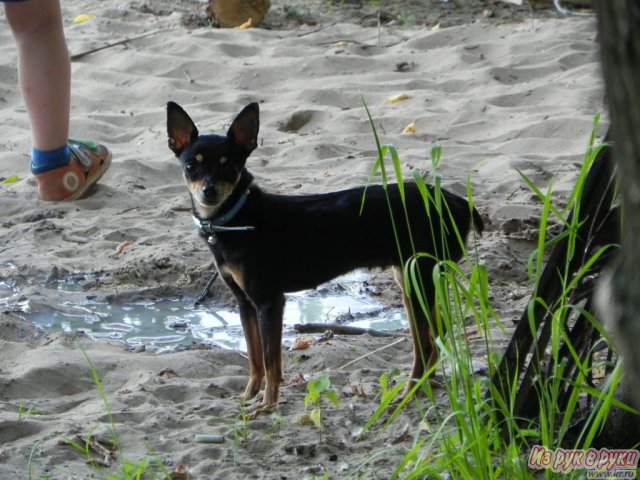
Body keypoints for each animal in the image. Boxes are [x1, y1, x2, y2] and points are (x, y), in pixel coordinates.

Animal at [168, 102, 482, 408]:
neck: (235, 218)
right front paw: (248, 397)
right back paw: (426, 387)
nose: (209, 191)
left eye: (230, 166)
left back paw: (408, 394)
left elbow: (271, 361)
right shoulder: (245, 304)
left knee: (427, 346)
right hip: (411, 281)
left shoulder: (269, 302)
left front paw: (267, 405)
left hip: (418, 280)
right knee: (434, 339)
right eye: (190, 167)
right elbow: (255, 358)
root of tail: (456, 201)